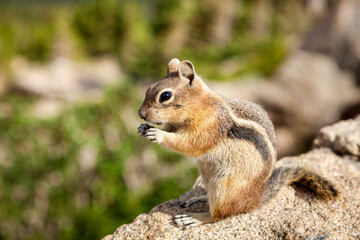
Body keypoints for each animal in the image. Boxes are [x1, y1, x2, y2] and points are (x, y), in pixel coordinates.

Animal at [136, 59, 338, 228]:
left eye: (165, 96)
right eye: (148, 89)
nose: (141, 114)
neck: (201, 104)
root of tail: (254, 200)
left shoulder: (210, 126)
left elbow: (191, 144)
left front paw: (158, 134)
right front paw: (143, 128)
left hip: (223, 184)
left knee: (219, 214)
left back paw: (195, 217)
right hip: (208, 175)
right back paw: (199, 198)